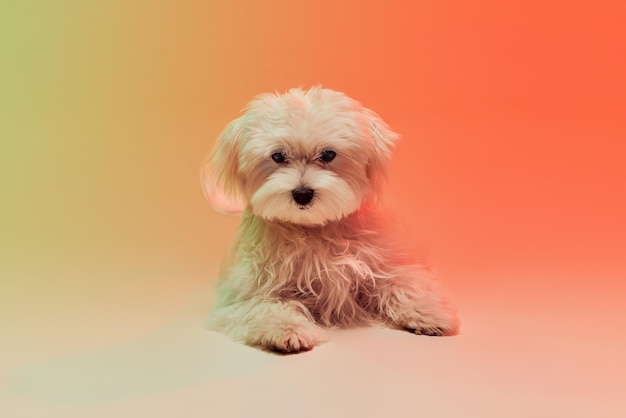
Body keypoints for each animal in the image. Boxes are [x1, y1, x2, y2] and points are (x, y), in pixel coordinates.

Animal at [202, 85, 456, 352]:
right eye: (278, 156)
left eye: (328, 154)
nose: (302, 194)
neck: (315, 228)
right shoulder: (246, 292)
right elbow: (265, 306)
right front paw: (288, 330)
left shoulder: (382, 263)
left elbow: (404, 282)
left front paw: (428, 312)